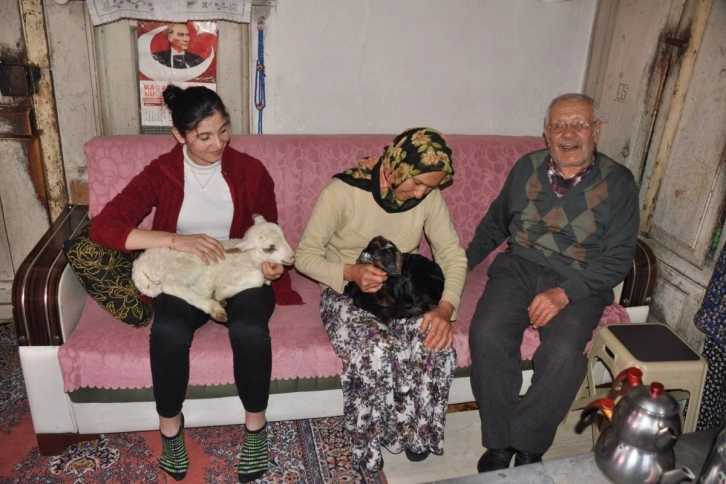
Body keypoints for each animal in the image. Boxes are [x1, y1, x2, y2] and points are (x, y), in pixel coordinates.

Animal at [132, 214, 295, 322]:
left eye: (284, 237)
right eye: (270, 248)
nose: (292, 257)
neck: (249, 258)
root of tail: (140, 264)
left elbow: (265, 280)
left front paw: (219, 294)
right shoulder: (229, 273)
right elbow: (258, 278)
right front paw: (221, 293)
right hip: (191, 263)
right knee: (172, 284)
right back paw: (215, 307)